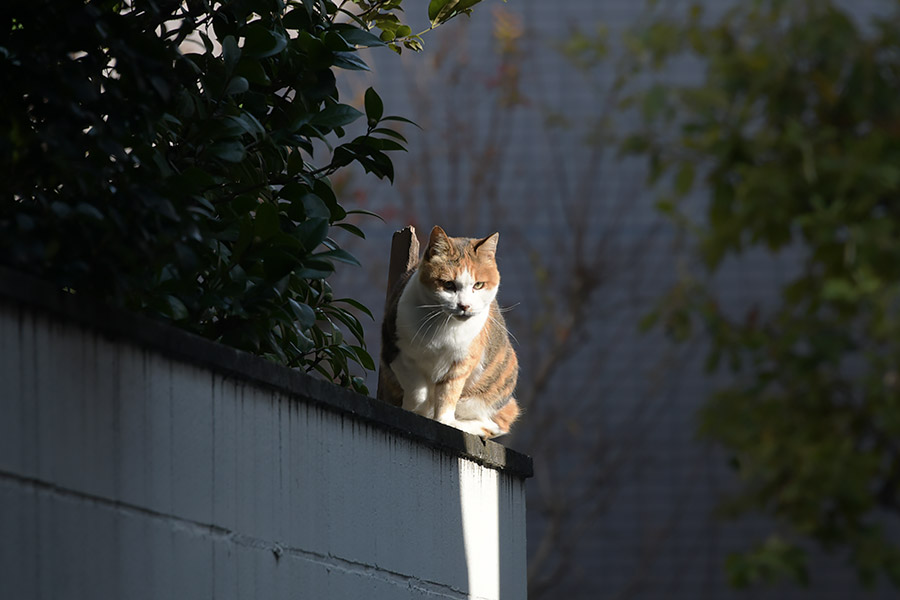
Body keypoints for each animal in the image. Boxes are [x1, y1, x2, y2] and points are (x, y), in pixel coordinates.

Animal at [380, 227, 520, 438]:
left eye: (478, 285)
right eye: (448, 285)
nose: (464, 305)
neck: (443, 327)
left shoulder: (461, 363)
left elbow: (448, 395)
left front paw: (444, 421)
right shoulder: (395, 350)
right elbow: (417, 391)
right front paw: (417, 410)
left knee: (496, 424)